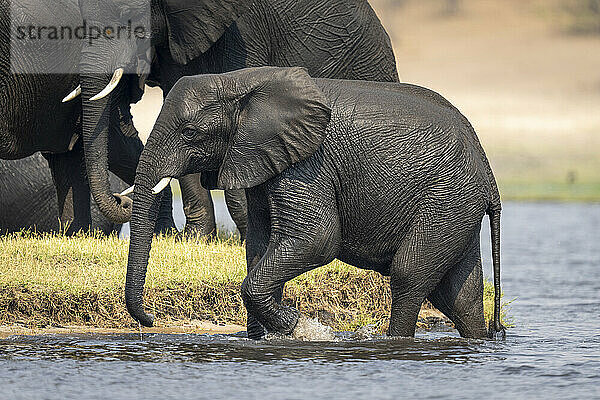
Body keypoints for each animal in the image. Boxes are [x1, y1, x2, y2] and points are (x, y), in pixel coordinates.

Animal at [125, 66, 506, 340]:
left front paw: (295, 325)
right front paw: (266, 337)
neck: (239, 81)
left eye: (190, 132)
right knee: (460, 296)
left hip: (446, 199)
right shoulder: (262, 156)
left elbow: (317, 240)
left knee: (408, 276)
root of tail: (488, 170)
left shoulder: (307, 163)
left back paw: (396, 341)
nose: (150, 319)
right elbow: (259, 244)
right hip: (458, 206)